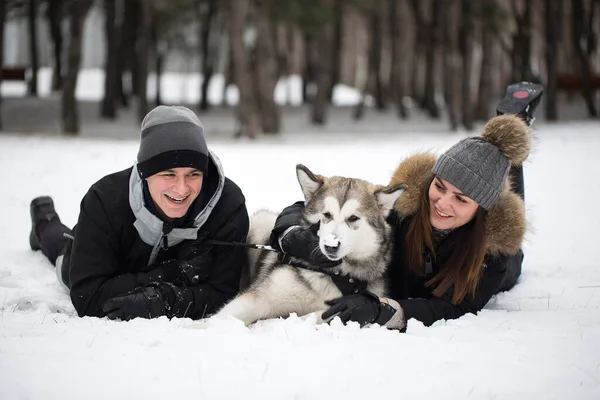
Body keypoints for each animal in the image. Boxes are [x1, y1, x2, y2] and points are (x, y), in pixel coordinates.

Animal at [213, 165, 406, 324]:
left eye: (353, 218)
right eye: (326, 215)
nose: (331, 246)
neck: (334, 275)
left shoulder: (339, 309)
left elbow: (316, 316)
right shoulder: (258, 298)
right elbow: (222, 318)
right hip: (263, 221)